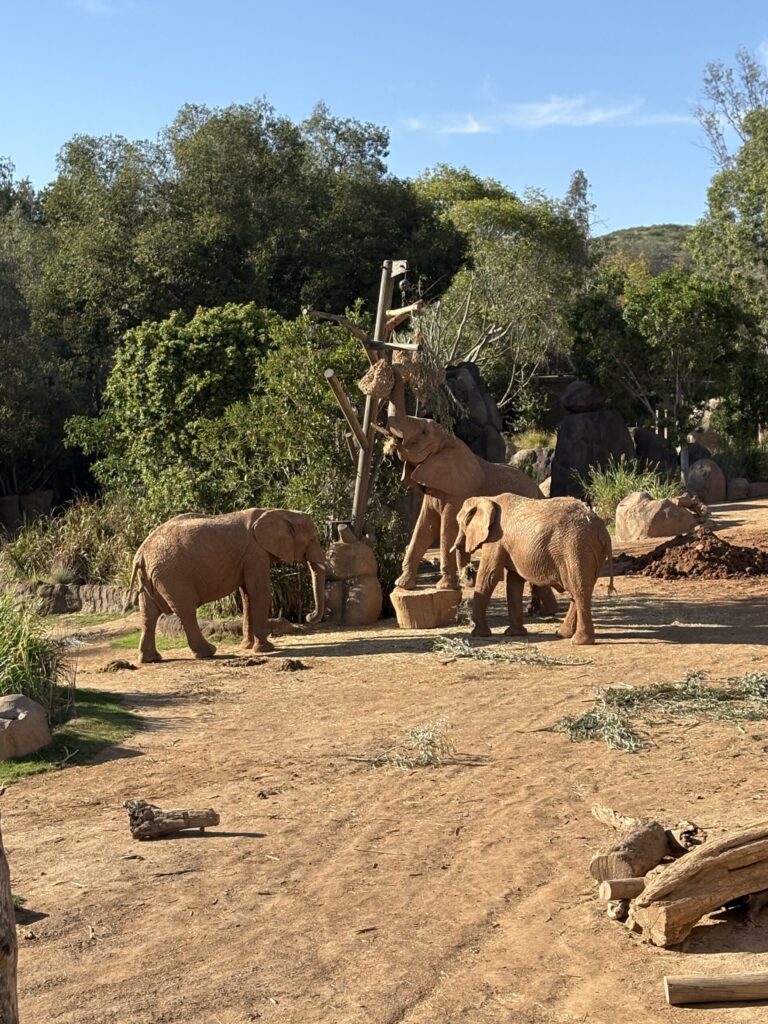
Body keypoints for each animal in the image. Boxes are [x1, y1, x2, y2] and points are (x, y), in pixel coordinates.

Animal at [129, 508, 326, 664]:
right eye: (313, 539)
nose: (308, 616)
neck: (280, 512)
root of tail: (141, 554)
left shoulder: (250, 557)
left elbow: (247, 596)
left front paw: (247, 646)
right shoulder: (255, 553)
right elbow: (259, 593)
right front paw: (266, 649)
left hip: (151, 576)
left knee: (148, 613)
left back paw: (151, 659)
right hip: (172, 575)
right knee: (186, 610)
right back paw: (209, 652)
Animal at [379, 368, 557, 614]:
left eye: (423, 432)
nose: (394, 367)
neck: (451, 440)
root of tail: (538, 491)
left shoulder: (458, 493)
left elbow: (446, 529)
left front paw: (444, 586)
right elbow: (424, 527)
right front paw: (403, 584)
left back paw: (535, 610)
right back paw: (533, 610)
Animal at [453, 494, 614, 645]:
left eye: (461, 523)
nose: (469, 571)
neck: (488, 498)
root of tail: (603, 532)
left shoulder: (496, 539)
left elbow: (490, 575)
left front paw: (479, 634)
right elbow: (514, 581)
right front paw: (515, 634)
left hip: (576, 548)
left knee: (579, 590)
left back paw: (578, 641)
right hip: (588, 552)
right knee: (578, 590)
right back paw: (562, 634)